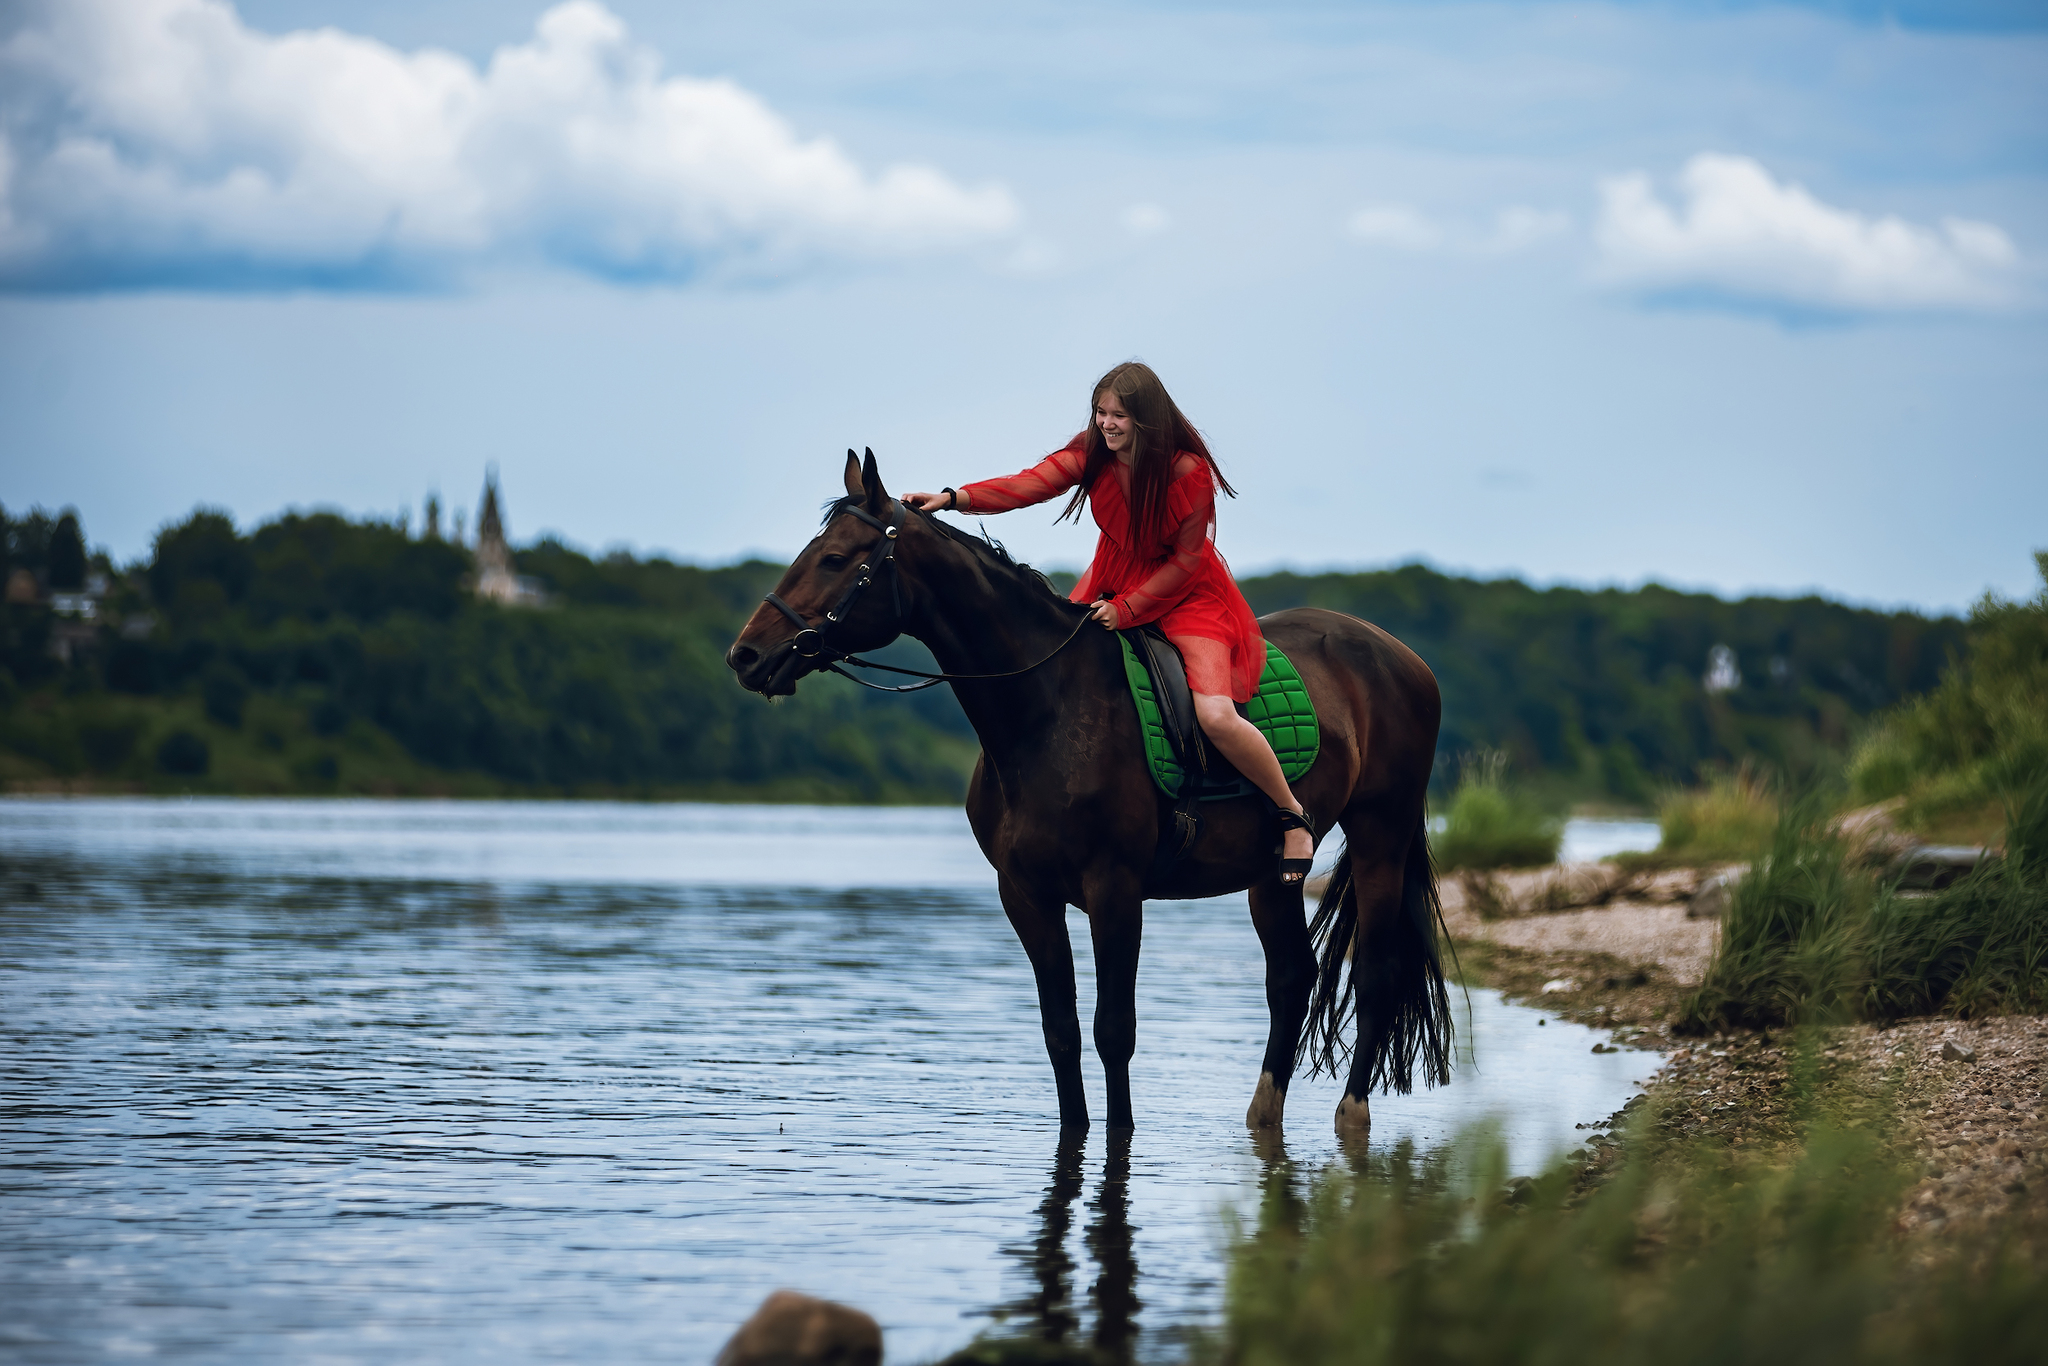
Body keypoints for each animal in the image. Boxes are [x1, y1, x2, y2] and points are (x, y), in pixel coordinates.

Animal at [729, 454, 1449, 1138]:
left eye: (835, 558)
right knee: (1292, 979)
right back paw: (1262, 1118)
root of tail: (1402, 657)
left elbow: (1113, 1031)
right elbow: (1061, 1031)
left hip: (1381, 836)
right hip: (1270, 876)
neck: (1047, 708)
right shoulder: (1026, 896)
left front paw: (1119, 1136)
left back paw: (1352, 1114)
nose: (746, 655)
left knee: (1376, 974)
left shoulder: (1114, 890)